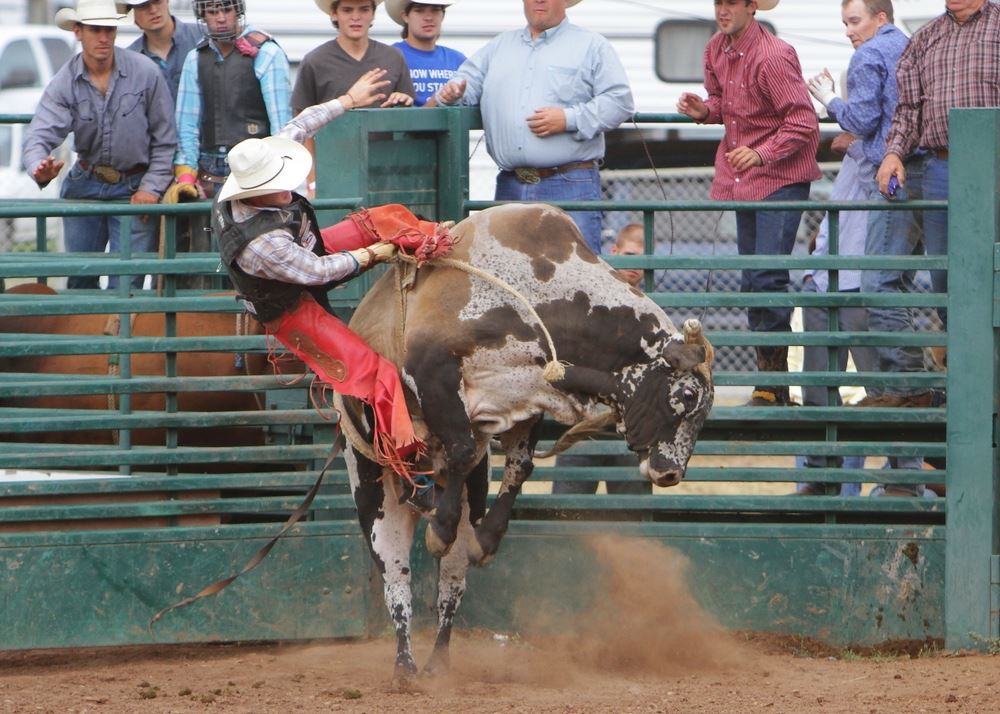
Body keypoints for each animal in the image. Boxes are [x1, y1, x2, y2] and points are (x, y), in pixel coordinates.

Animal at [337, 203, 714, 685]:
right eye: (686, 396)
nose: (670, 473)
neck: (540, 298)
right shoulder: (432, 370)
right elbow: (463, 449)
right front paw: (440, 529)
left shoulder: (529, 401)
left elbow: (517, 468)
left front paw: (486, 540)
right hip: (371, 485)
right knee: (395, 576)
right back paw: (405, 664)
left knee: (451, 583)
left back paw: (437, 661)